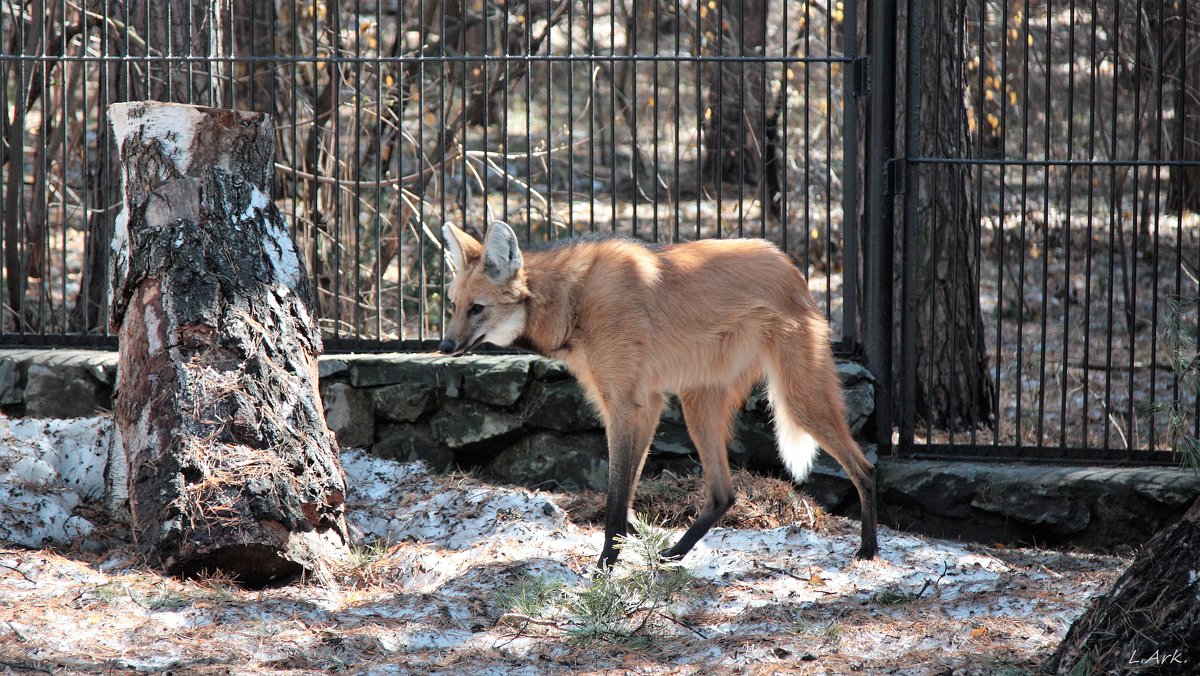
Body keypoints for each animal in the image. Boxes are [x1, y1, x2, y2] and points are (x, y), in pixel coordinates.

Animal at [441, 220, 883, 566]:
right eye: (453, 306)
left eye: (478, 308)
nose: (444, 346)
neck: (573, 300)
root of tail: (792, 268)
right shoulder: (643, 403)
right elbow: (626, 493)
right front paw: (626, 547)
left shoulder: (624, 404)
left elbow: (616, 496)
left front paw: (606, 566)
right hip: (697, 400)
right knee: (724, 494)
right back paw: (674, 553)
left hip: (797, 397)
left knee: (866, 469)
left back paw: (868, 550)